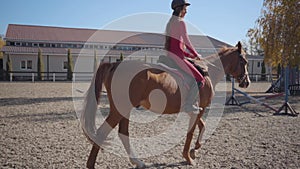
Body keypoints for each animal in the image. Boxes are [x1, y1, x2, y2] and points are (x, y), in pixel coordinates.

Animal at [81, 41, 250, 168]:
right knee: (102, 133)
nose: (246, 82)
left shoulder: (196, 110)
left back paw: (137, 162)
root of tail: (115, 65)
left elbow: (202, 126)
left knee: (123, 133)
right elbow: (191, 132)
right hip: (120, 109)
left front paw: (196, 148)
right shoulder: (199, 109)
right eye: (244, 61)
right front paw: (189, 157)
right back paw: (91, 165)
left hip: (124, 110)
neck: (208, 72)